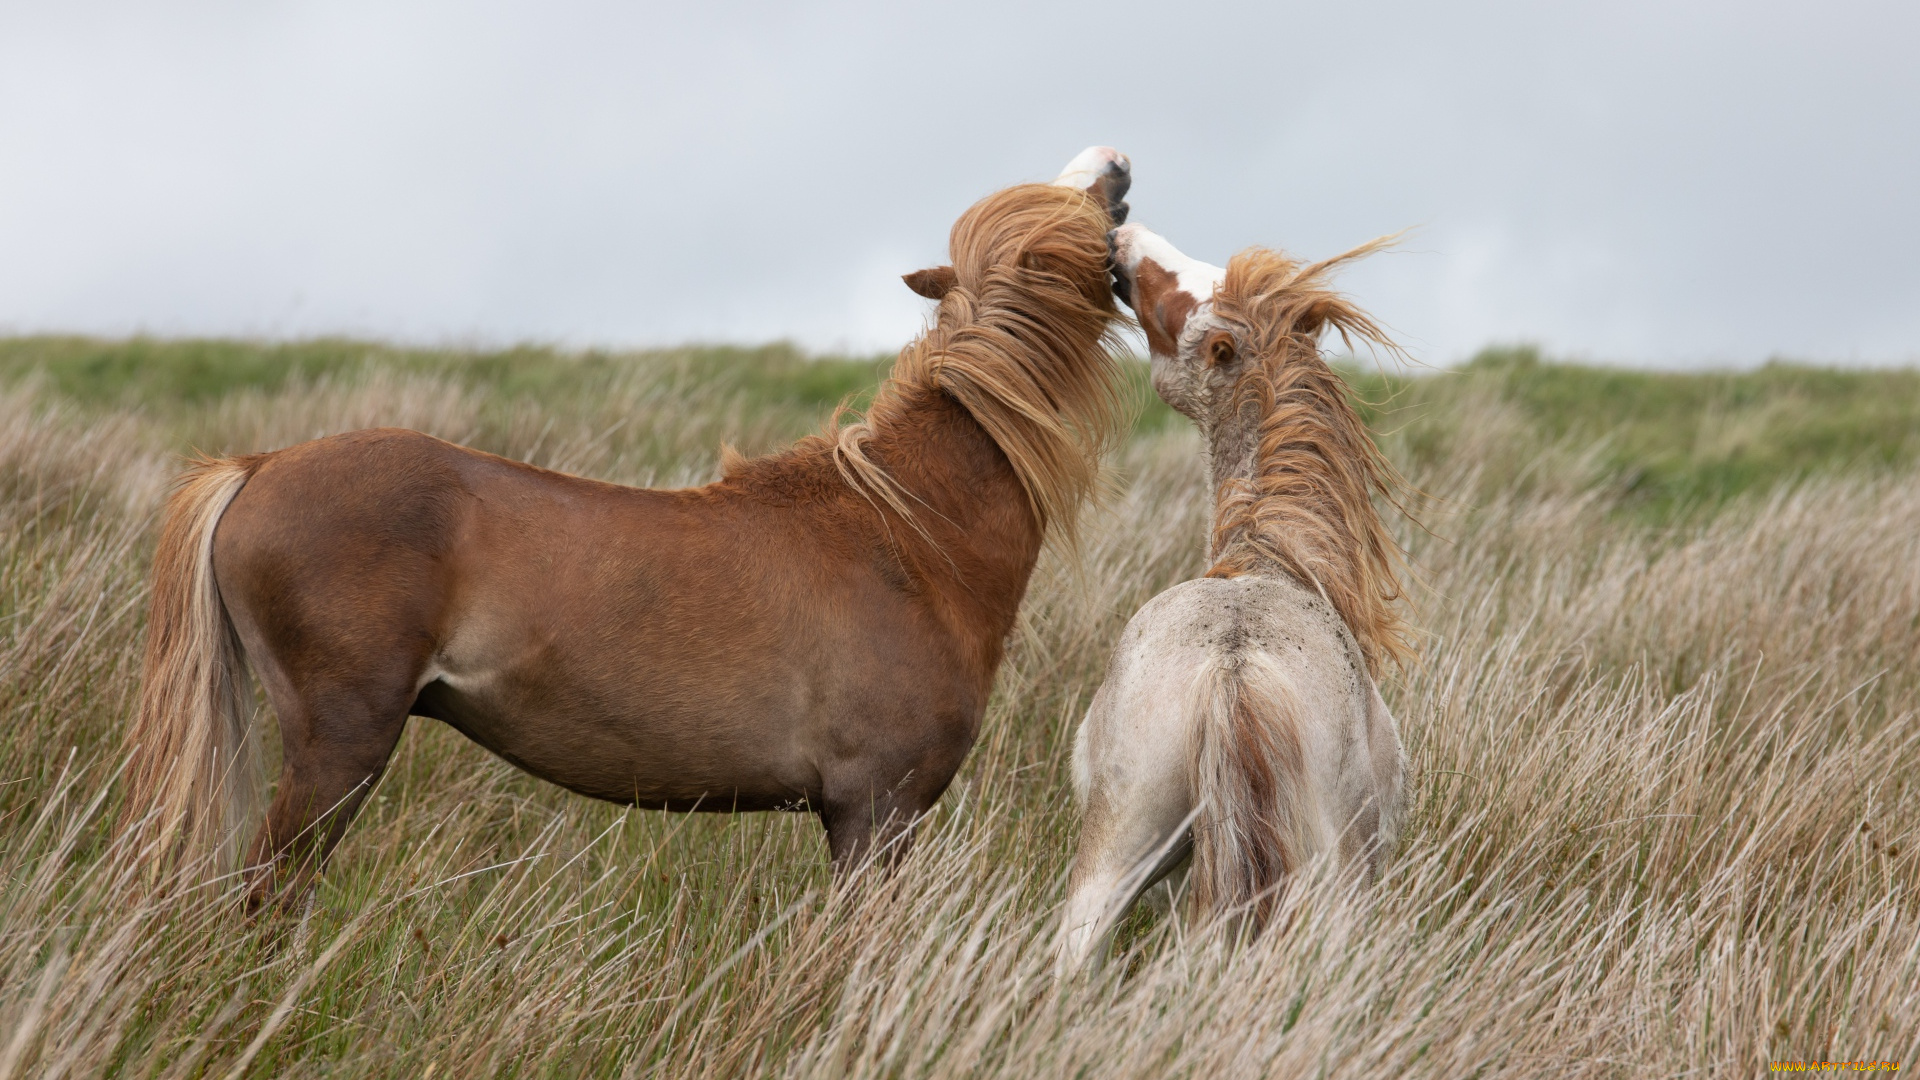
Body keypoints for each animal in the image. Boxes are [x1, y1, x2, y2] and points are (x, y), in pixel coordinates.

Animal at [127, 147, 1128, 903]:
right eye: (1087, 209)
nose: (1117, 161)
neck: (909, 535)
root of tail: (257, 468)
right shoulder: (872, 815)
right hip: (339, 748)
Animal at [1059, 222, 1420, 960]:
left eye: (1179, 300)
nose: (1120, 238)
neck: (1266, 559)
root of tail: (1232, 667)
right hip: (1332, 886)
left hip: (1118, 853)